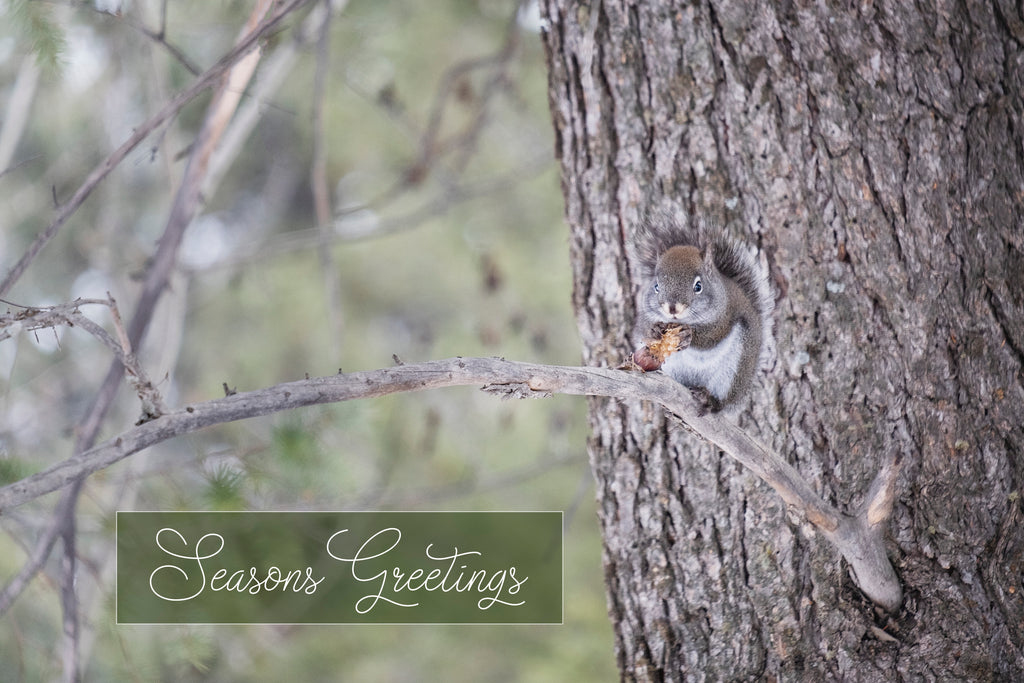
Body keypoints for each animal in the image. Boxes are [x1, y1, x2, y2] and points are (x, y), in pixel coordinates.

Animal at [630, 214, 773, 413]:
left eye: (698, 286)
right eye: (656, 286)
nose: (672, 308)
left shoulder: (725, 316)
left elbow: (711, 338)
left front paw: (688, 336)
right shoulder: (645, 314)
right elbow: (643, 329)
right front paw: (654, 330)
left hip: (735, 369)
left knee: (723, 400)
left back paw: (710, 400)